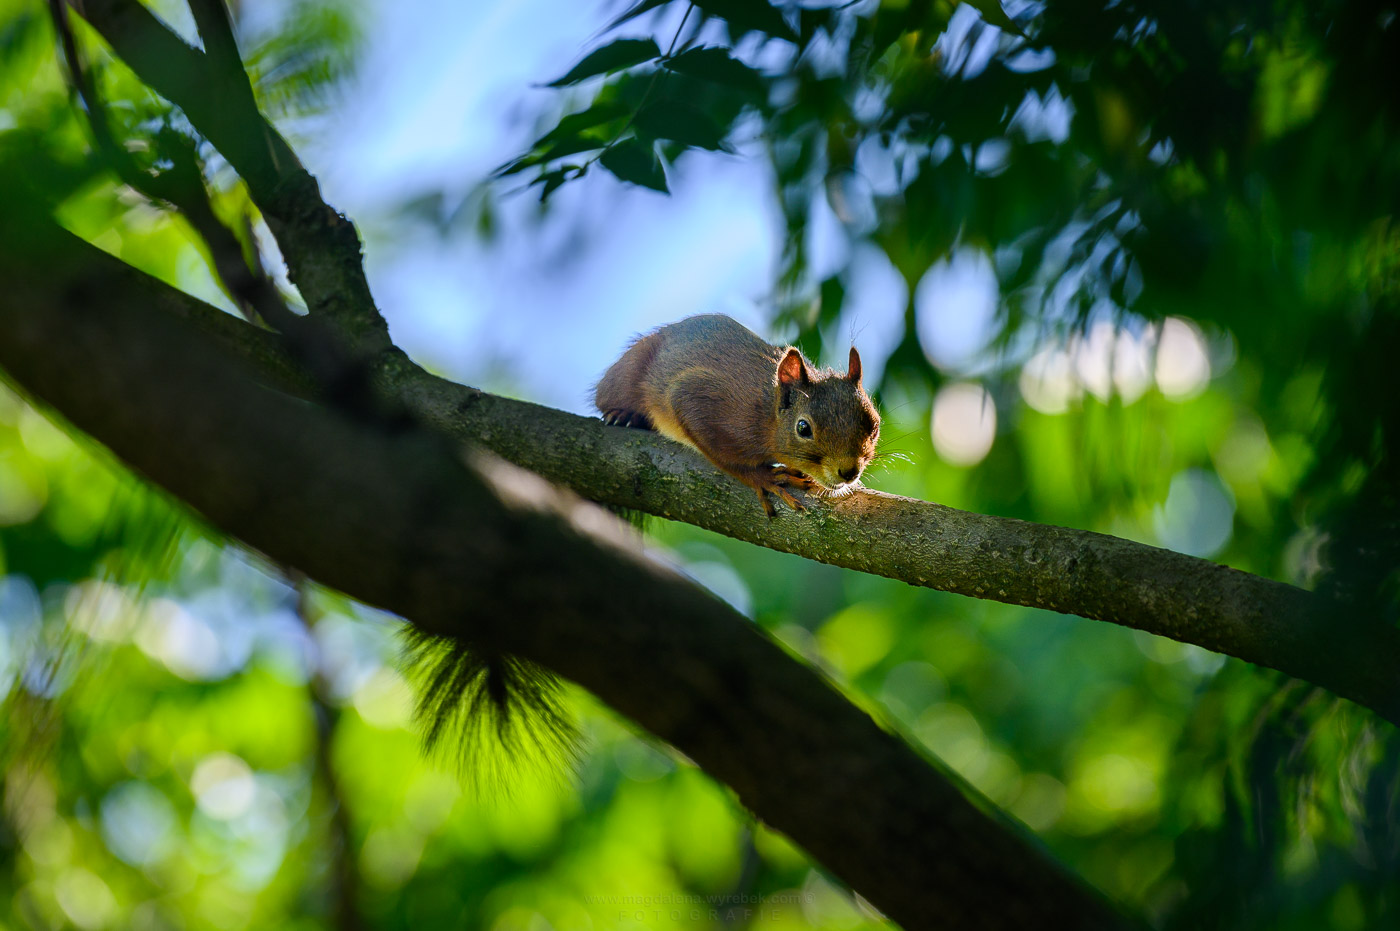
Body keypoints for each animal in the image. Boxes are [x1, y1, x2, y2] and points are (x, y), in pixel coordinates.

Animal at [596, 314, 881, 515]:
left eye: (874, 425)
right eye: (803, 428)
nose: (849, 472)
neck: (767, 415)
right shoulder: (700, 399)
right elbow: (725, 458)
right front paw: (765, 478)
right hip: (627, 373)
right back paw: (622, 415)